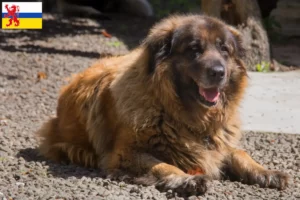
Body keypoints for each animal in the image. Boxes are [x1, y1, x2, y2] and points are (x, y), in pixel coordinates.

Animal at [36, 14, 290, 196]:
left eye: (224, 49)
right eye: (194, 49)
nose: (219, 72)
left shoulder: (219, 143)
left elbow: (240, 154)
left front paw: (265, 172)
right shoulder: (125, 154)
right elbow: (162, 165)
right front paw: (187, 179)